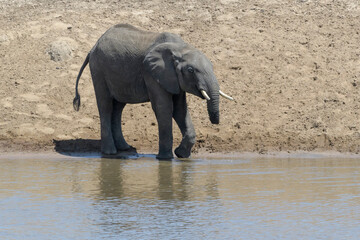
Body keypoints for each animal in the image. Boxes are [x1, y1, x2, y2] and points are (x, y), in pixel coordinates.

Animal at [72, 23, 233, 159]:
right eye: (191, 70)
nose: (215, 122)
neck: (179, 49)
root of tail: (93, 47)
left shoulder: (173, 79)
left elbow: (180, 109)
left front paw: (181, 155)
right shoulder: (151, 73)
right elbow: (164, 108)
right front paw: (165, 158)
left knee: (118, 107)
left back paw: (124, 148)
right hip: (99, 69)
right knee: (105, 105)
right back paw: (110, 152)